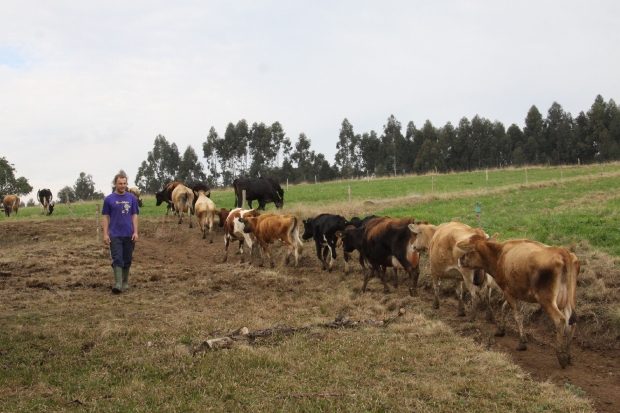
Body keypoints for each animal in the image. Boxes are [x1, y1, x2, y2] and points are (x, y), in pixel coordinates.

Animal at [458, 233, 580, 368]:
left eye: (468, 249)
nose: (460, 259)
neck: (499, 254)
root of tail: (563, 252)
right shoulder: (517, 293)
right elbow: (504, 308)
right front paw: (501, 329)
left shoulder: (508, 291)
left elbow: (517, 316)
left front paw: (522, 342)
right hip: (569, 299)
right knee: (571, 321)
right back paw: (568, 353)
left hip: (546, 299)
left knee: (560, 320)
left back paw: (561, 355)